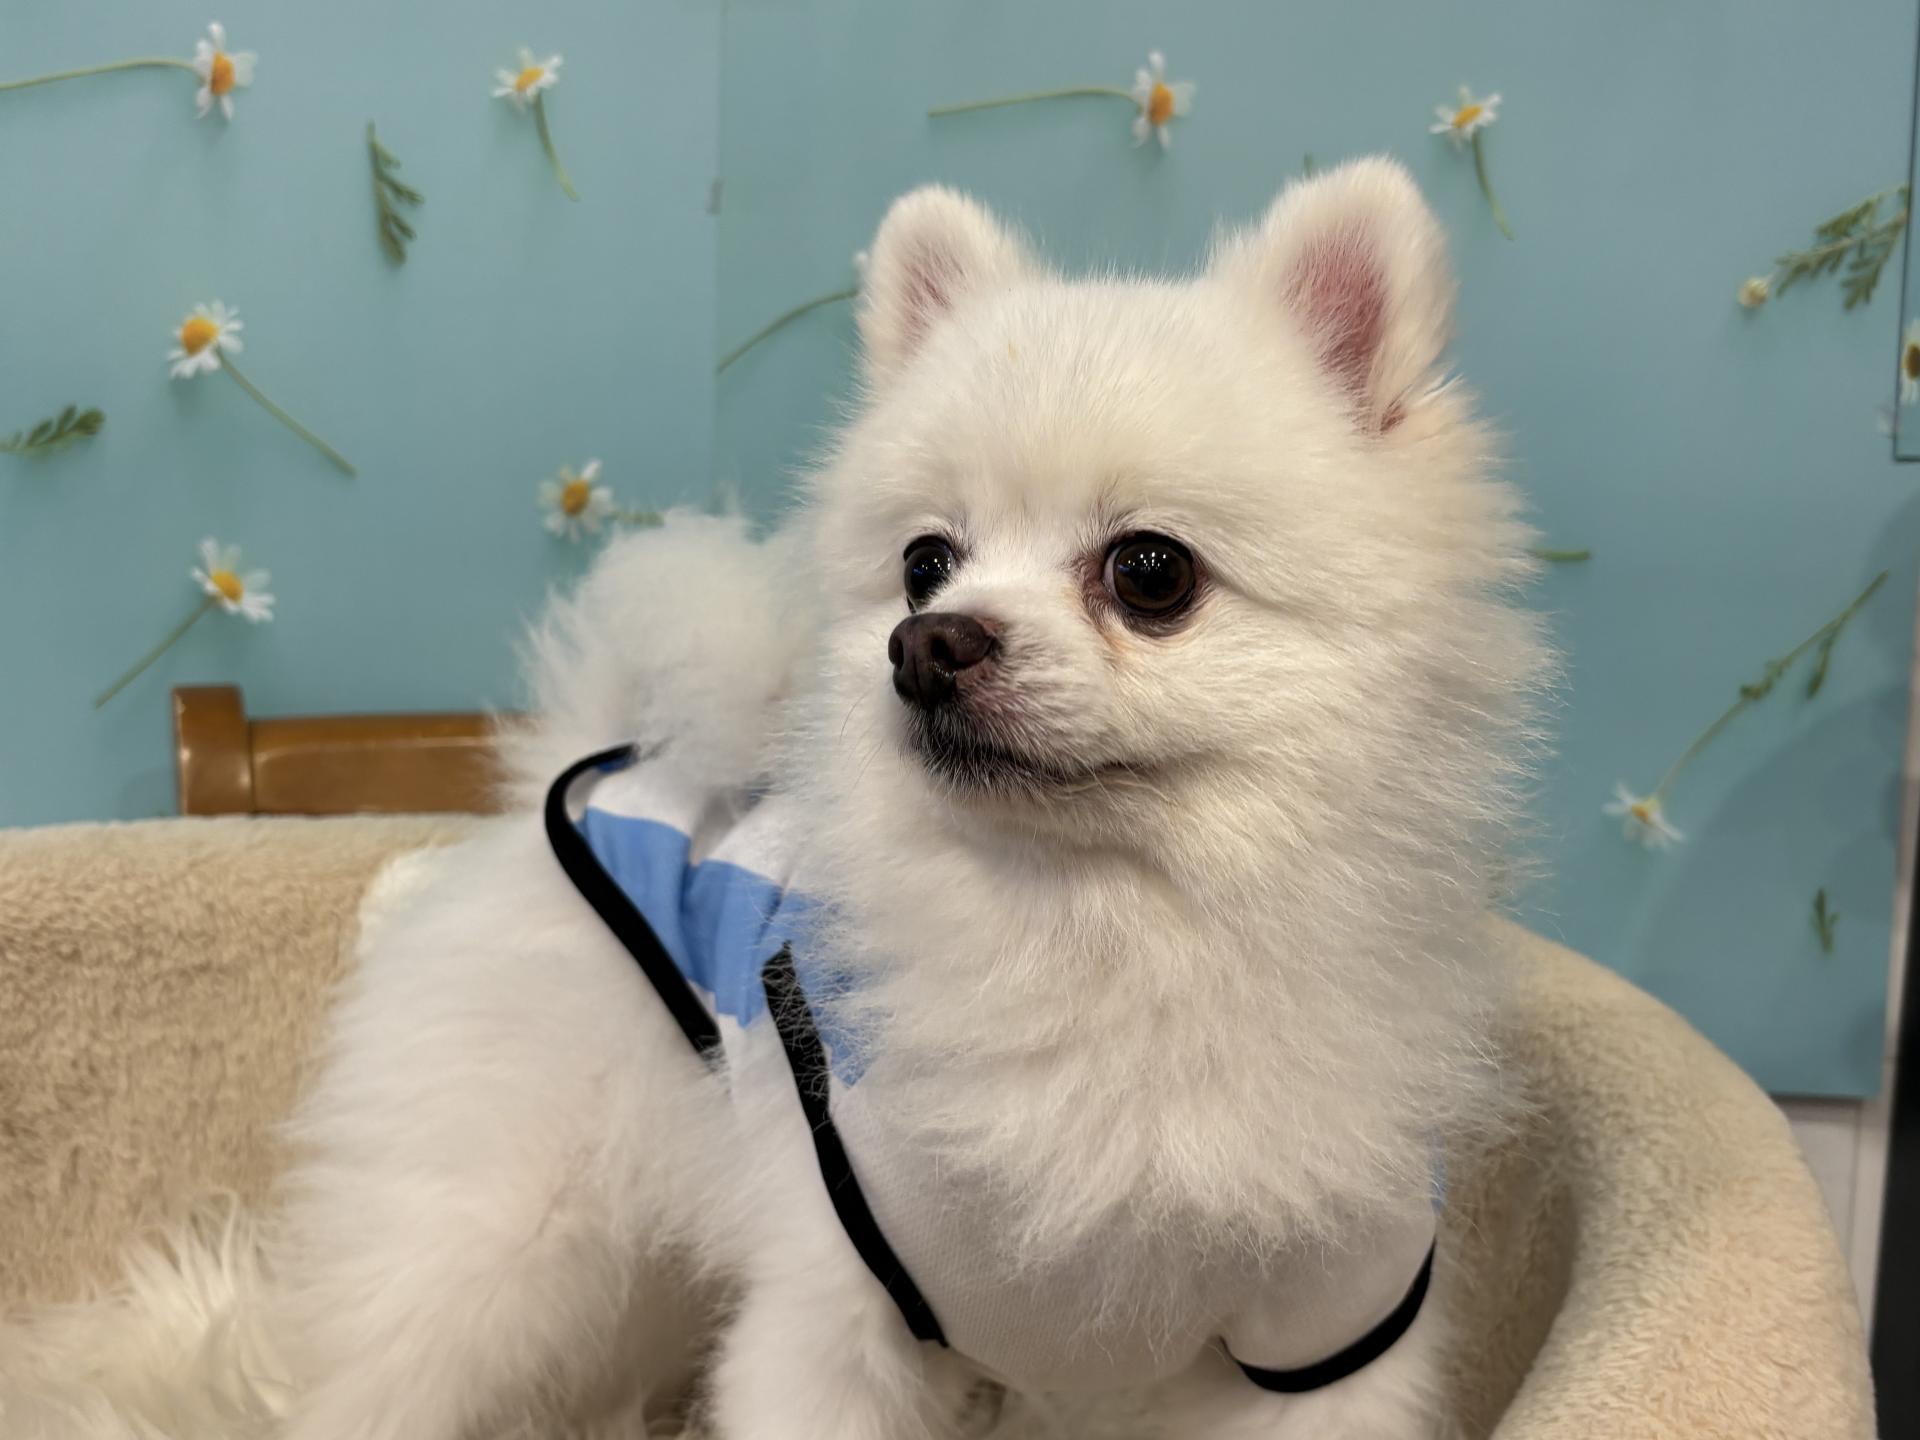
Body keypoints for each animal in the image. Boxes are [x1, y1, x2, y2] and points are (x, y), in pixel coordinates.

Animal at [270, 156, 1547, 1440]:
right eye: (923, 563)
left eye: (1152, 573)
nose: (926, 642)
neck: (1097, 934)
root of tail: (586, 757)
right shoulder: (841, 1287)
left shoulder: (1334, 1318)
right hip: (496, 1236)